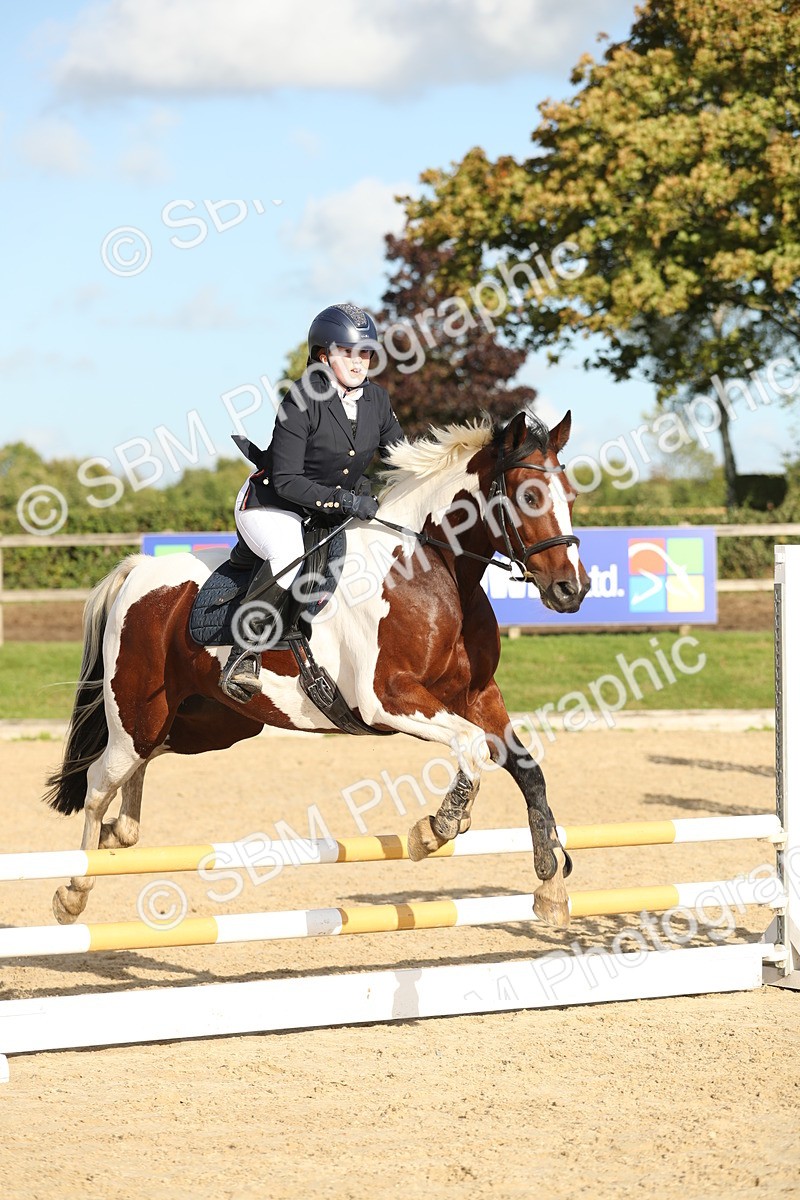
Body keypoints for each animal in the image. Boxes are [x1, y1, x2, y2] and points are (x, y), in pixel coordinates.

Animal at [44, 408, 589, 928]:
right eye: (529, 496)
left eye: (570, 495)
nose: (572, 590)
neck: (431, 569)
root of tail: (139, 570)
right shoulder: (387, 700)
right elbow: (472, 747)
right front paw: (435, 831)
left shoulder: (478, 696)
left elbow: (527, 770)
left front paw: (550, 885)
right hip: (139, 712)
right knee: (100, 780)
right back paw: (74, 892)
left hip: (211, 723)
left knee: (143, 761)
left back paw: (119, 833)